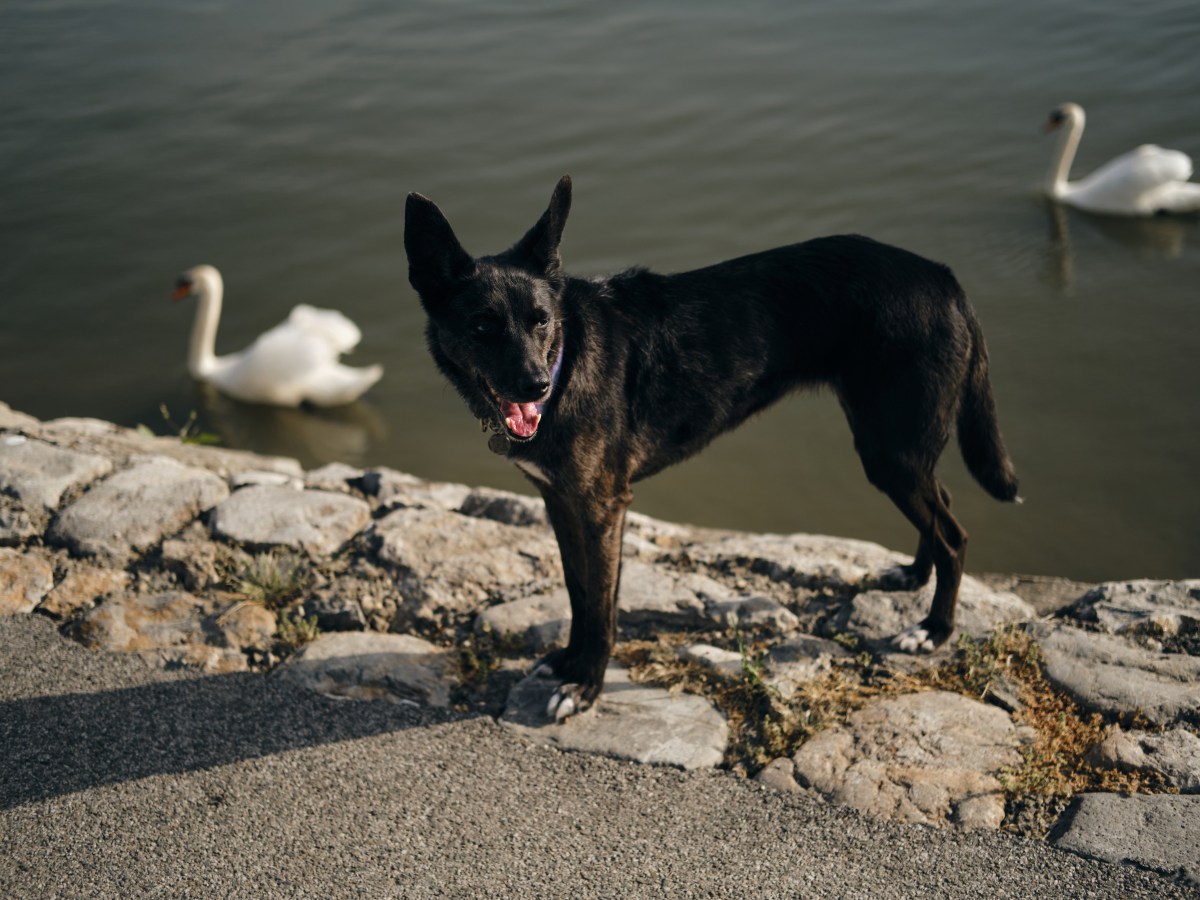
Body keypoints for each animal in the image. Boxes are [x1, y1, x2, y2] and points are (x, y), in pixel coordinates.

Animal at [403, 176, 1012, 724]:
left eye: (542, 321)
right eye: (482, 326)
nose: (534, 387)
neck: (569, 356)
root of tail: (942, 278)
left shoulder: (602, 507)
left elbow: (601, 607)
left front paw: (586, 686)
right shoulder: (561, 502)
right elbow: (578, 593)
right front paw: (569, 664)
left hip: (889, 451)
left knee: (954, 535)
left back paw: (934, 630)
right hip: (899, 450)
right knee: (941, 505)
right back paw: (913, 575)